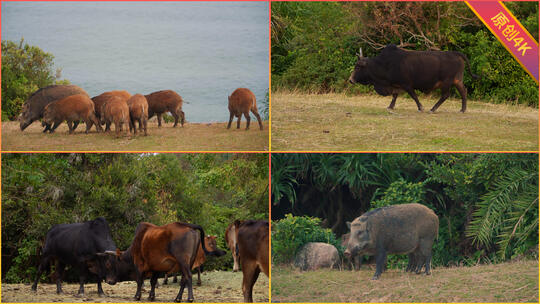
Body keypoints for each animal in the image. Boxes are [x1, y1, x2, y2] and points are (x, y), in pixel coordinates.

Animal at [350, 44, 480, 113]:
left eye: (357, 67)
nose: (351, 80)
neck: (384, 64)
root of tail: (455, 53)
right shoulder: (396, 84)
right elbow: (395, 96)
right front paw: (390, 106)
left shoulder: (407, 84)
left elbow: (413, 96)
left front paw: (421, 107)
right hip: (457, 81)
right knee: (463, 91)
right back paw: (462, 109)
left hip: (447, 82)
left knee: (445, 95)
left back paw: (433, 109)